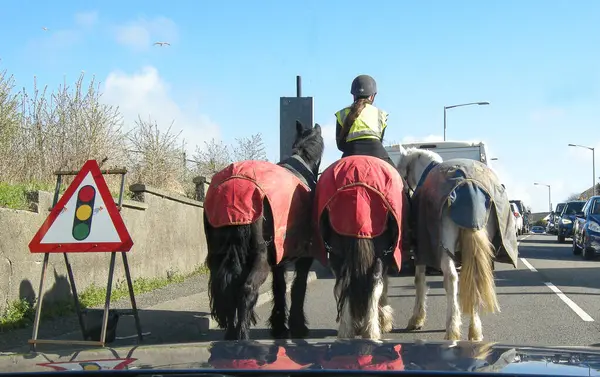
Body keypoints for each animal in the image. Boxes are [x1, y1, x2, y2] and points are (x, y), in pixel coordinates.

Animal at [203, 122, 326, 340]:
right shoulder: (304, 256)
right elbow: (298, 287)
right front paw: (297, 327)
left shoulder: (279, 258)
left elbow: (279, 287)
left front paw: (280, 326)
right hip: (260, 259)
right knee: (247, 289)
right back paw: (242, 337)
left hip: (219, 258)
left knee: (228, 291)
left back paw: (231, 335)